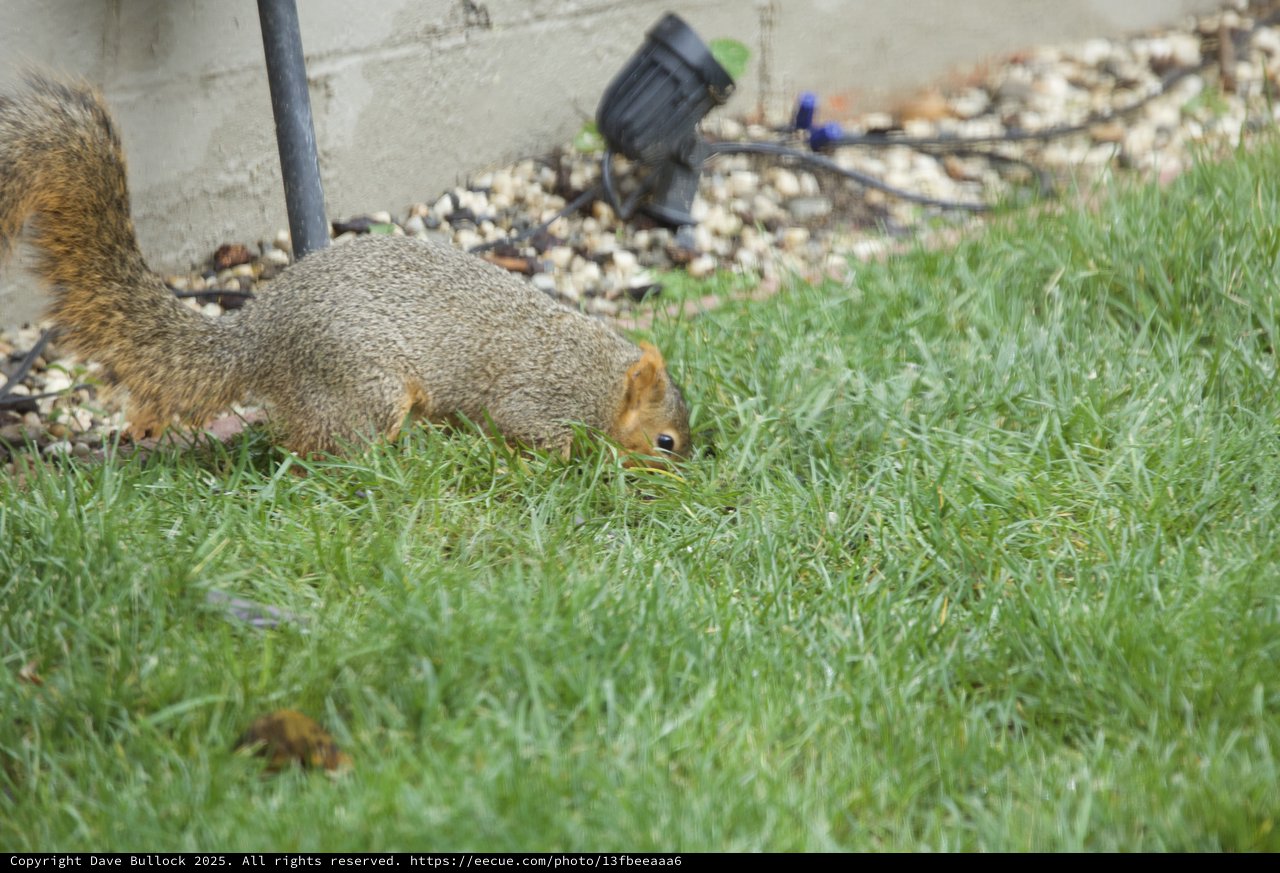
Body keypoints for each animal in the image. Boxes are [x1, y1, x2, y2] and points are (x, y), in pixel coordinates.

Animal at [0, 76, 691, 464]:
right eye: (666, 443)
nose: (685, 479)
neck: (602, 377)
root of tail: (260, 339)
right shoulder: (542, 402)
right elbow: (539, 437)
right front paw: (585, 466)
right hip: (363, 384)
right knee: (317, 448)